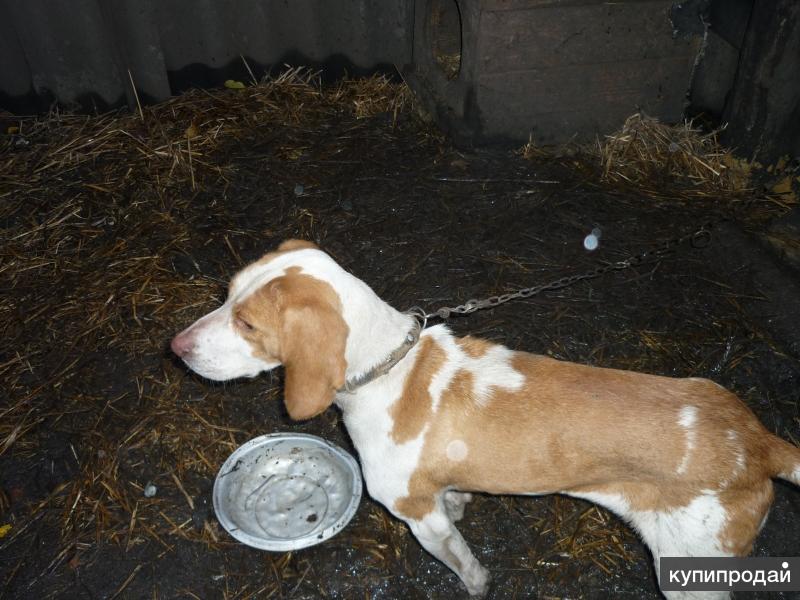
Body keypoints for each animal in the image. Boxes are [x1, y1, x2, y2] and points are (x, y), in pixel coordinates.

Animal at [172, 240, 796, 600]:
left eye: (248, 324)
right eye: (226, 295)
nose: (176, 347)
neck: (389, 369)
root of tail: (759, 441)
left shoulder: (417, 517)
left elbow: (464, 564)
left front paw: (475, 585)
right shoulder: (438, 492)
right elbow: (456, 498)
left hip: (690, 573)